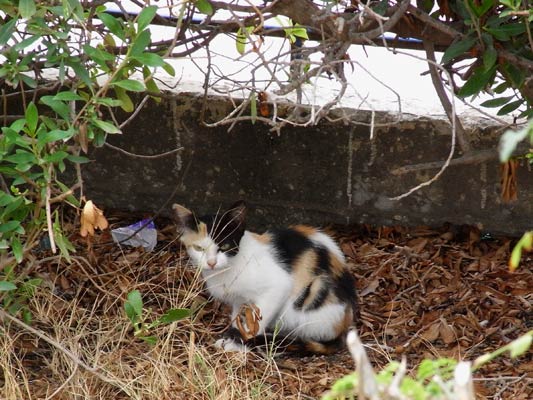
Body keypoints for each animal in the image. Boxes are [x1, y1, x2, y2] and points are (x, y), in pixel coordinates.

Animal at [174, 200, 358, 354]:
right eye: (199, 248)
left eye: (225, 246)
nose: (211, 263)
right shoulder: (239, 299)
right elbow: (237, 317)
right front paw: (233, 334)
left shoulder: (278, 286)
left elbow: (257, 321)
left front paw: (240, 343)